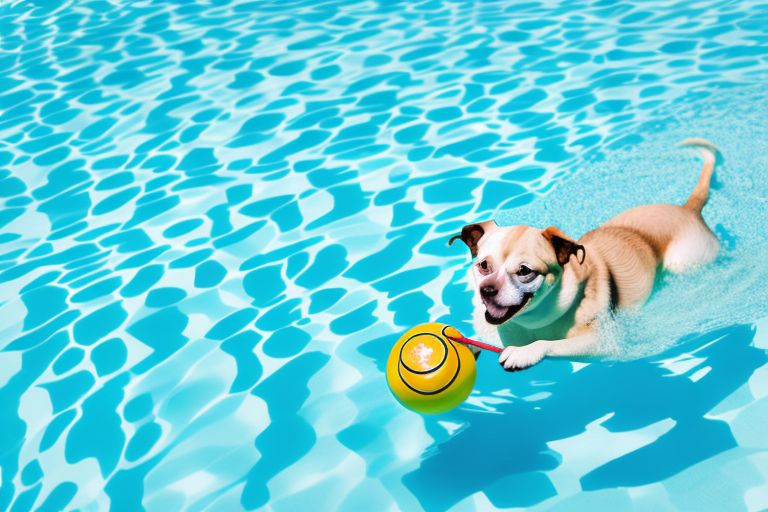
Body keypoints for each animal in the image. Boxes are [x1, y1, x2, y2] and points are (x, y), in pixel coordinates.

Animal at [450, 139, 720, 372]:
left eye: (525, 271)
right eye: (483, 265)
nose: (487, 290)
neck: (533, 319)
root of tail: (688, 209)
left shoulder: (602, 343)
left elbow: (551, 344)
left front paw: (524, 352)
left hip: (684, 261)